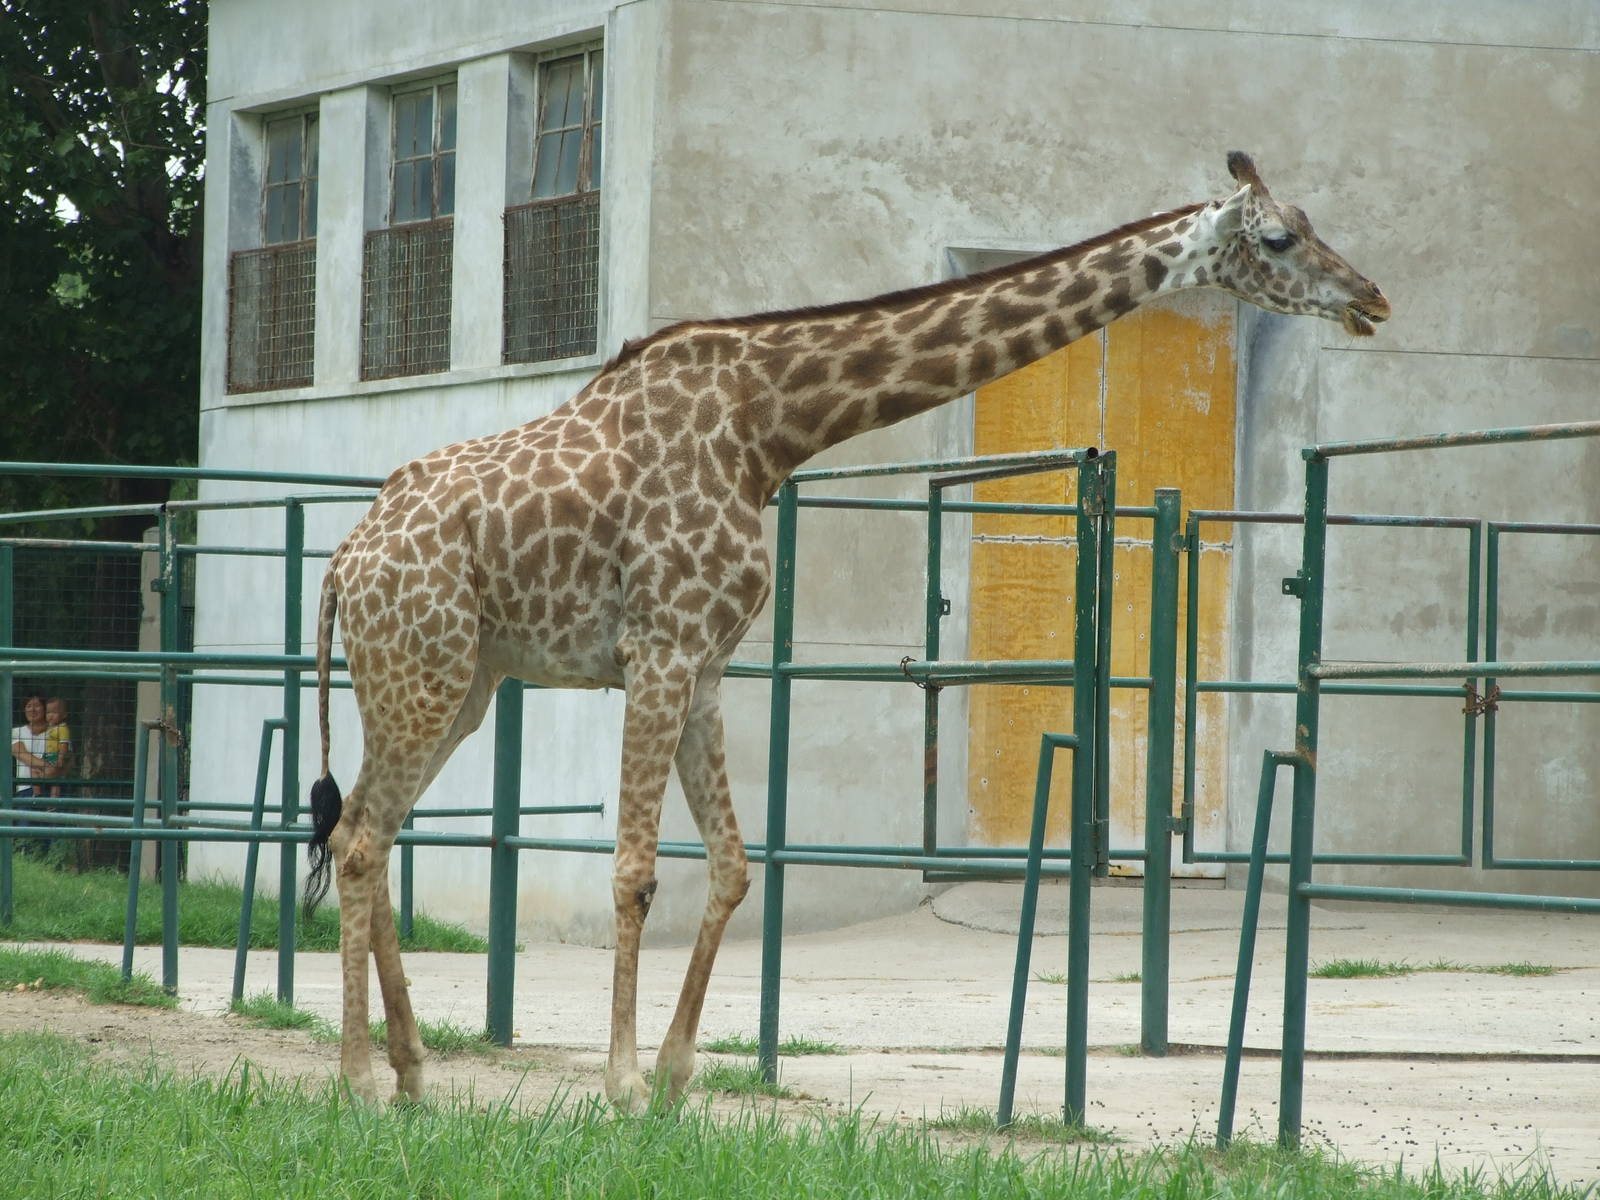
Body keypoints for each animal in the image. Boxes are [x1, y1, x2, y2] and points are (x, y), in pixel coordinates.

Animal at [304, 151, 1389, 1107]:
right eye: (1280, 236)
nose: (1371, 298)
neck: (769, 427)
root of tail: (342, 565)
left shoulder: (704, 666)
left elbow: (735, 868)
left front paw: (673, 1084)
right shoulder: (660, 648)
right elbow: (635, 872)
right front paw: (619, 1085)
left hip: (464, 681)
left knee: (373, 832)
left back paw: (412, 1077)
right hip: (421, 670)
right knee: (357, 840)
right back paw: (358, 1082)